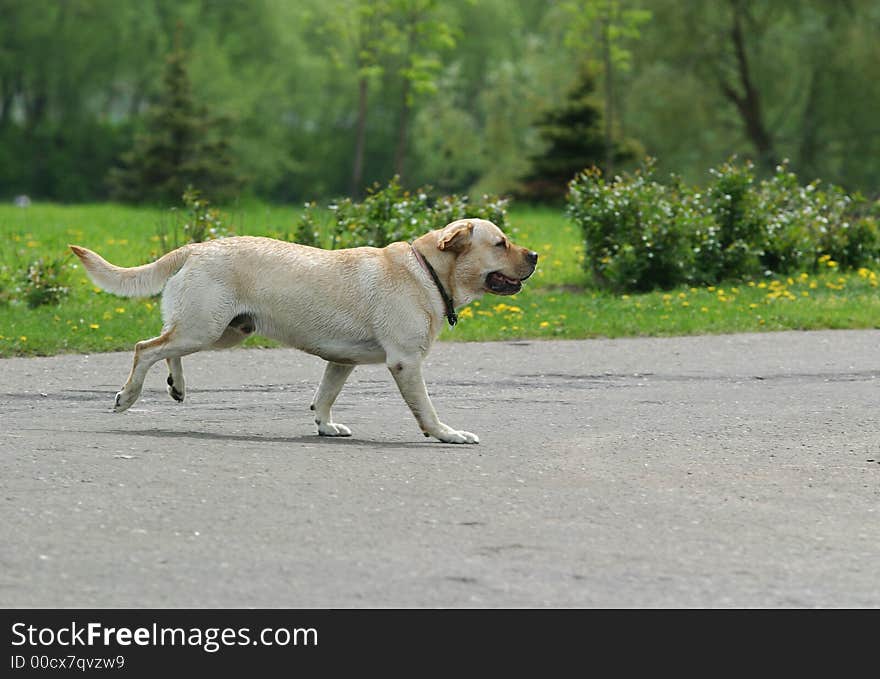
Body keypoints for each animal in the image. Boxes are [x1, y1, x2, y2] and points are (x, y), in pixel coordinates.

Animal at [70, 220, 536, 446]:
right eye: (500, 243)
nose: (534, 255)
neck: (427, 271)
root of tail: (197, 247)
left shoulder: (340, 362)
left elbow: (324, 397)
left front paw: (325, 426)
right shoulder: (406, 363)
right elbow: (426, 409)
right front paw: (447, 434)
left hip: (222, 331)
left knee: (167, 346)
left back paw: (177, 386)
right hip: (205, 328)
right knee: (146, 347)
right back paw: (128, 397)